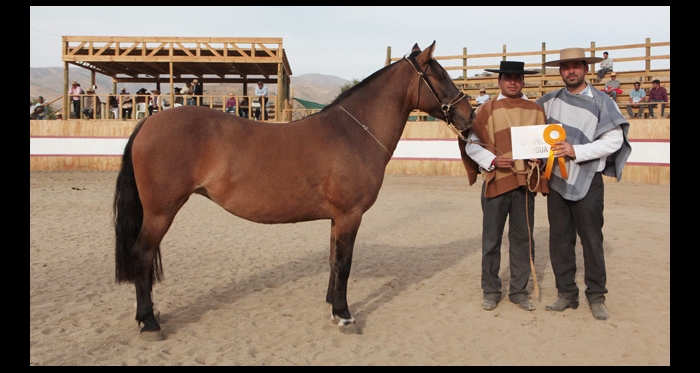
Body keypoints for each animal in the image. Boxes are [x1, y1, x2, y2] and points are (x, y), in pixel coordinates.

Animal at [115, 41, 476, 340]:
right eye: (440, 76)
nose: (469, 114)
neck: (353, 132)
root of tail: (148, 122)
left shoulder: (338, 218)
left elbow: (333, 259)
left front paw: (332, 306)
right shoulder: (350, 215)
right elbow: (345, 263)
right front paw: (345, 316)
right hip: (161, 211)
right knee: (142, 254)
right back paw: (149, 322)